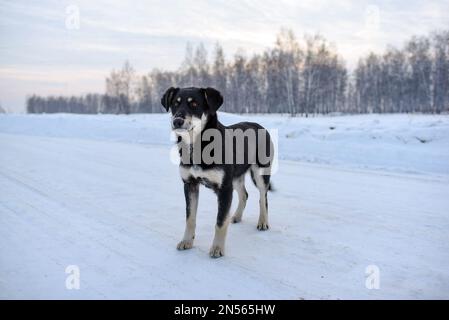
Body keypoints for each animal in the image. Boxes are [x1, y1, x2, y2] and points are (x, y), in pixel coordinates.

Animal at [161, 85, 272, 258]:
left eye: (194, 104)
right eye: (175, 104)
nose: (177, 121)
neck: (199, 146)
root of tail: (260, 126)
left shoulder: (224, 189)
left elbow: (220, 222)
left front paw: (217, 248)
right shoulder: (190, 185)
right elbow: (190, 218)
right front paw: (187, 241)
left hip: (260, 173)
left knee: (263, 198)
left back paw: (263, 222)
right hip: (236, 176)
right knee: (244, 195)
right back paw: (236, 216)